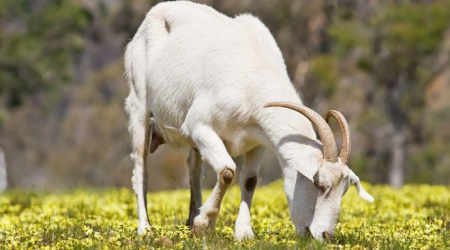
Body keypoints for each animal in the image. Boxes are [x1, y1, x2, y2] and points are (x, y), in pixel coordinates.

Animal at [124, 0, 372, 241]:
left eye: (344, 190)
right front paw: (204, 224)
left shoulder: (259, 140)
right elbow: (227, 171)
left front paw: (243, 233)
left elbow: (249, 180)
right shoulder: (200, 126)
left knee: (194, 171)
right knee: (141, 169)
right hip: (139, 104)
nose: (324, 234)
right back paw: (145, 228)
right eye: (319, 184)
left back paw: (190, 220)